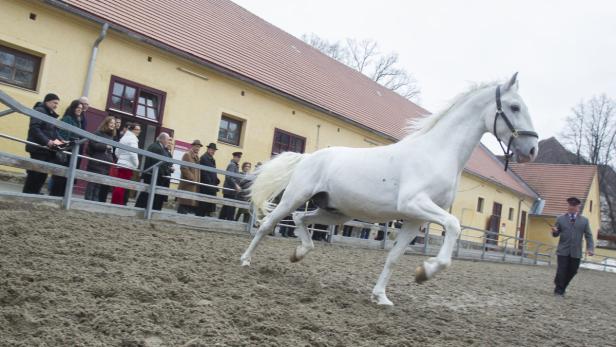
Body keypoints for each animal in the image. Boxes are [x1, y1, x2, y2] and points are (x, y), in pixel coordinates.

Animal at [238, 72, 536, 304]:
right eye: (514, 107)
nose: (532, 149)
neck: (437, 153)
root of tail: (308, 157)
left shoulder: (415, 219)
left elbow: (393, 256)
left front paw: (381, 296)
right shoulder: (414, 204)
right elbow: (453, 225)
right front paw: (426, 271)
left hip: (335, 212)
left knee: (301, 218)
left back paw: (299, 253)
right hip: (295, 197)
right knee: (268, 224)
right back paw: (245, 260)